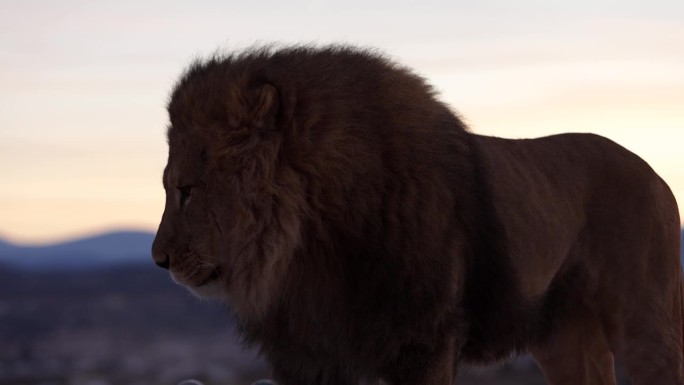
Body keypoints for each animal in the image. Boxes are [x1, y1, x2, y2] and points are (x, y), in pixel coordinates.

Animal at [152, 45, 680, 384]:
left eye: (186, 190)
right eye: (170, 188)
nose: (159, 260)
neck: (307, 249)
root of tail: (657, 176)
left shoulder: (423, 344)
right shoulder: (308, 355)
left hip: (644, 324)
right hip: (565, 340)